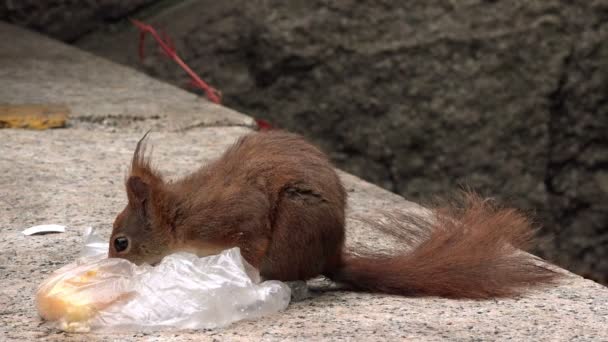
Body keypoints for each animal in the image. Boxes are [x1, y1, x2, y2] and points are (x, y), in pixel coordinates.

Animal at [108, 130, 556, 298]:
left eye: (121, 242)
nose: (112, 266)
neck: (179, 216)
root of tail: (330, 257)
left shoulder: (235, 215)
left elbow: (250, 240)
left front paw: (239, 275)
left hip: (295, 224)